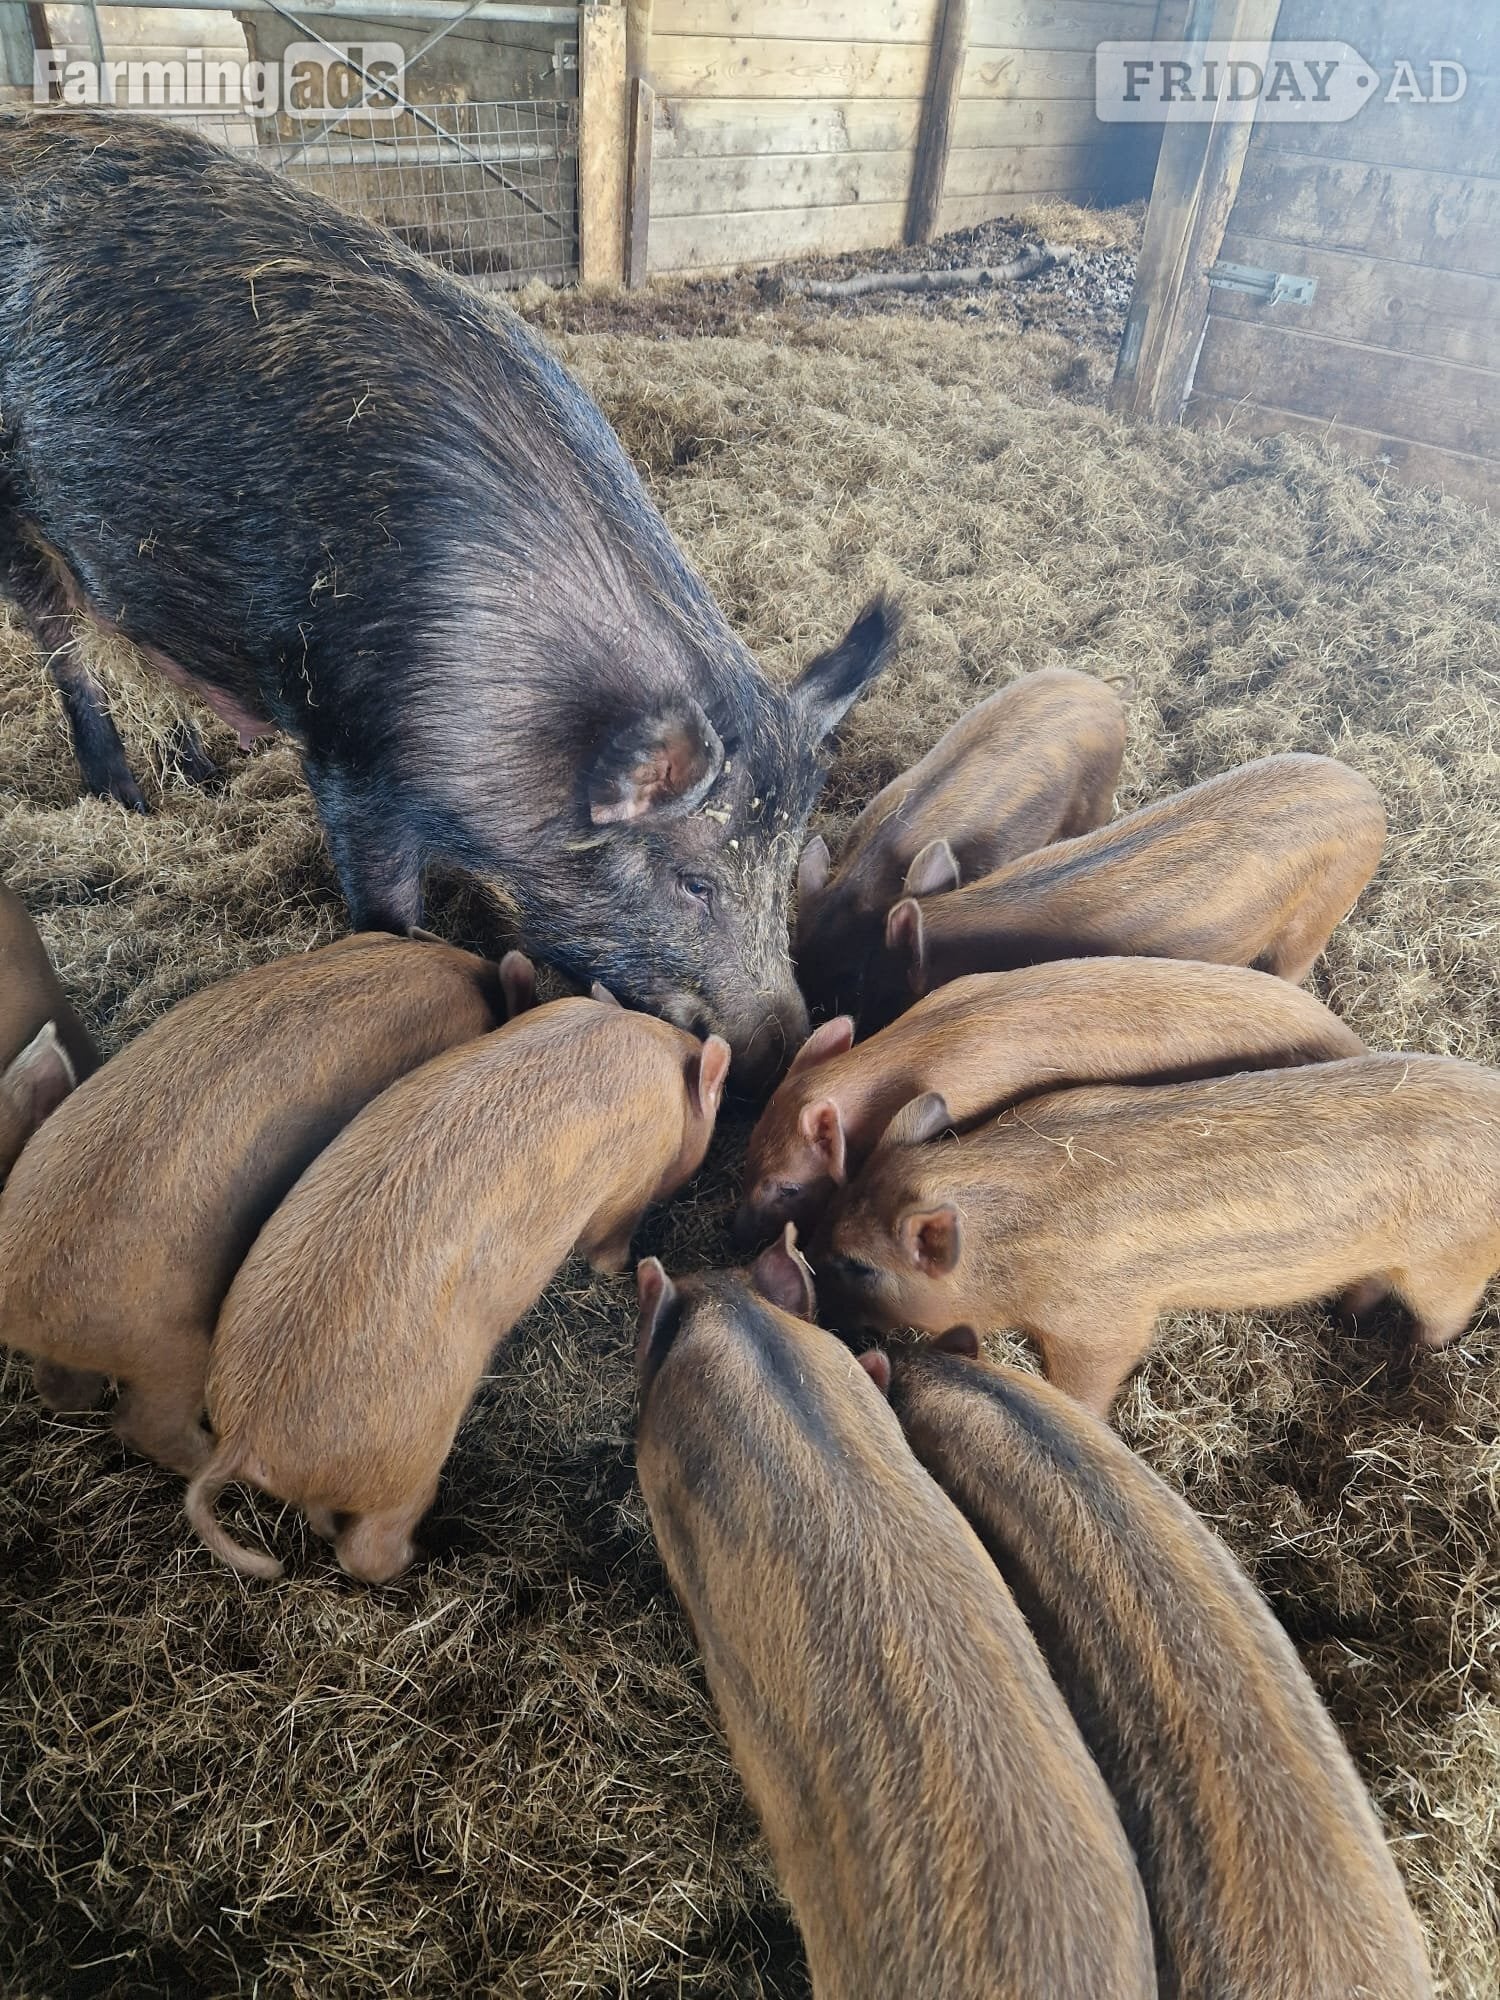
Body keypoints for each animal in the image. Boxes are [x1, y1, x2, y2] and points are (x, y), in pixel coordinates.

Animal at [0, 114, 896, 1092]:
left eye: (783, 872)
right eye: (695, 882)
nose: (793, 1037)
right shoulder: (352, 755)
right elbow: (387, 907)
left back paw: (195, 771)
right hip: (16, 515)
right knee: (62, 641)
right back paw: (122, 796)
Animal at [187, 997, 730, 1583]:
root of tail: (244, 1434)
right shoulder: (627, 1188)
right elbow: (607, 1245)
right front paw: (625, 1268)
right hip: (410, 1456)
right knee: (366, 1549)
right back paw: (425, 1555)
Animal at [814, 1052, 1500, 1415]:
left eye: (860, 1264)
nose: (819, 1305)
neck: (1006, 1246)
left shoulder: (1103, 1323)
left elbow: (1090, 1379)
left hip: (1449, 1264)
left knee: (1444, 1318)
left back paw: (1409, 1359)